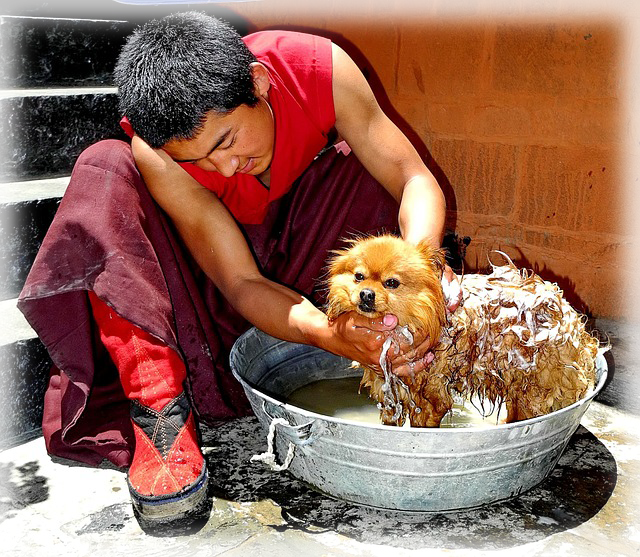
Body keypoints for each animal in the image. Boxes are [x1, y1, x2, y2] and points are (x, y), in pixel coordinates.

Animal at [328, 233, 604, 426]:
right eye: (359, 277)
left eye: (391, 283)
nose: (366, 294)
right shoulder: (390, 398)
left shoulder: (430, 400)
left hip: (533, 389)